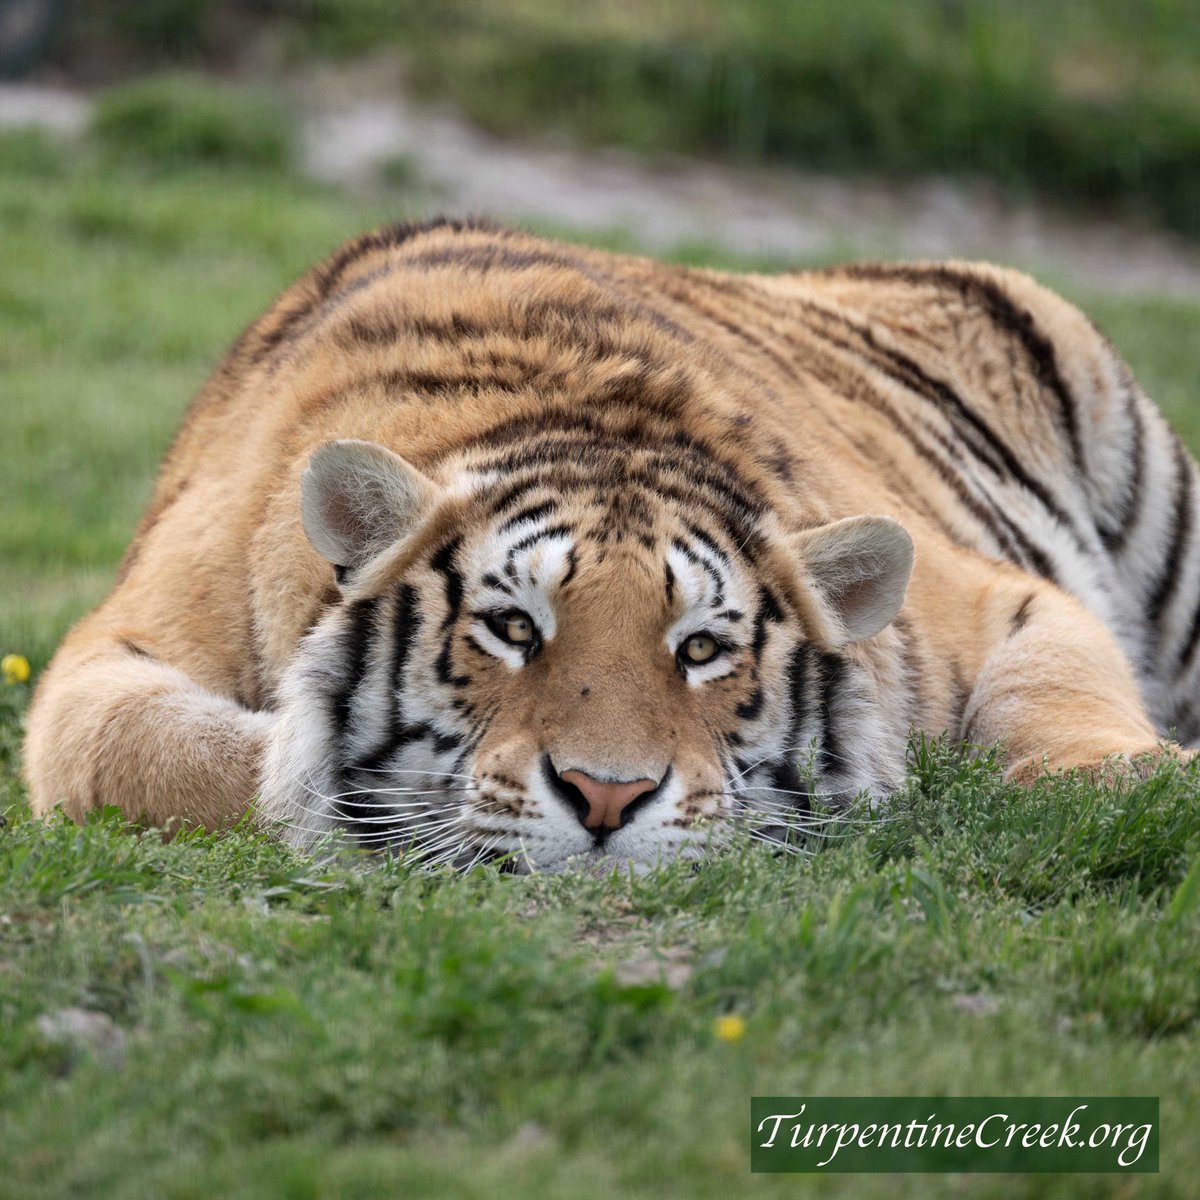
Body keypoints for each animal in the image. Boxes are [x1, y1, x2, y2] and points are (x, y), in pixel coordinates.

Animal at [23, 218, 1197, 872]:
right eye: (511, 630)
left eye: (703, 650)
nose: (606, 799)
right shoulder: (109, 658)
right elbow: (155, 754)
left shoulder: (999, 601)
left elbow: (1059, 705)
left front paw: (1148, 780)